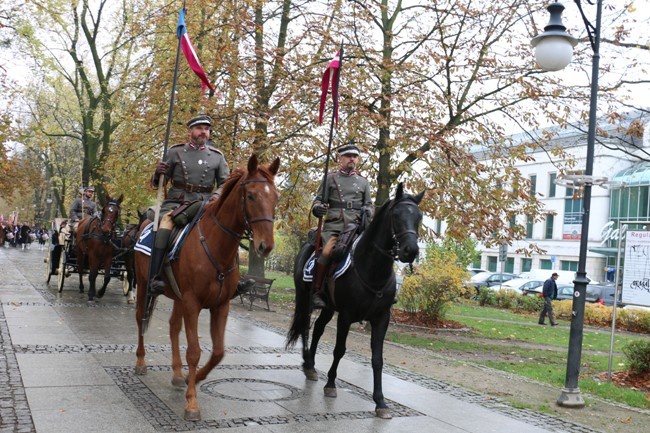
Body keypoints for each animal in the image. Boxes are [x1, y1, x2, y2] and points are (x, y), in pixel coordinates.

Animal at [134, 154, 278, 418]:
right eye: (251, 196)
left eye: (276, 197)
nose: (266, 246)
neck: (216, 246)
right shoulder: (192, 302)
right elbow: (194, 351)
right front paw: (192, 403)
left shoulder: (220, 305)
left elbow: (218, 352)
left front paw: (196, 378)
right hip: (142, 284)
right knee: (141, 318)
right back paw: (140, 362)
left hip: (177, 296)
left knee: (173, 327)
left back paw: (178, 374)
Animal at [286, 182, 422, 418]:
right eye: (396, 215)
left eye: (419, 217)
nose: (410, 250)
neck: (373, 270)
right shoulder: (347, 315)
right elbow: (339, 350)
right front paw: (331, 384)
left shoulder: (381, 318)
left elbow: (377, 359)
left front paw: (380, 402)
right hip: (304, 298)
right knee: (304, 326)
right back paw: (307, 363)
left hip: (329, 307)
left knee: (318, 328)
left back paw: (311, 365)